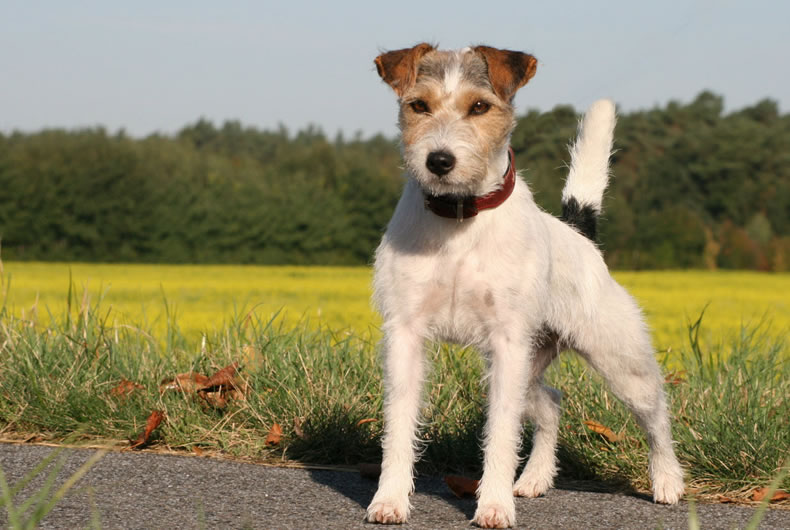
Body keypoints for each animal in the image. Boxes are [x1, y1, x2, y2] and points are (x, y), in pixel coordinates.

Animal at [368, 43, 684, 524]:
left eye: (480, 107)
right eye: (418, 105)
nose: (439, 161)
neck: (460, 219)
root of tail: (579, 232)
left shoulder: (506, 342)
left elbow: (500, 433)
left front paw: (493, 507)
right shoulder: (406, 335)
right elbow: (399, 424)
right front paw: (388, 500)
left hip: (618, 364)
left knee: (657, 416)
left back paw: (667, 482)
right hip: (527, 364)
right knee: (552, 403)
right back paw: (534, 479)